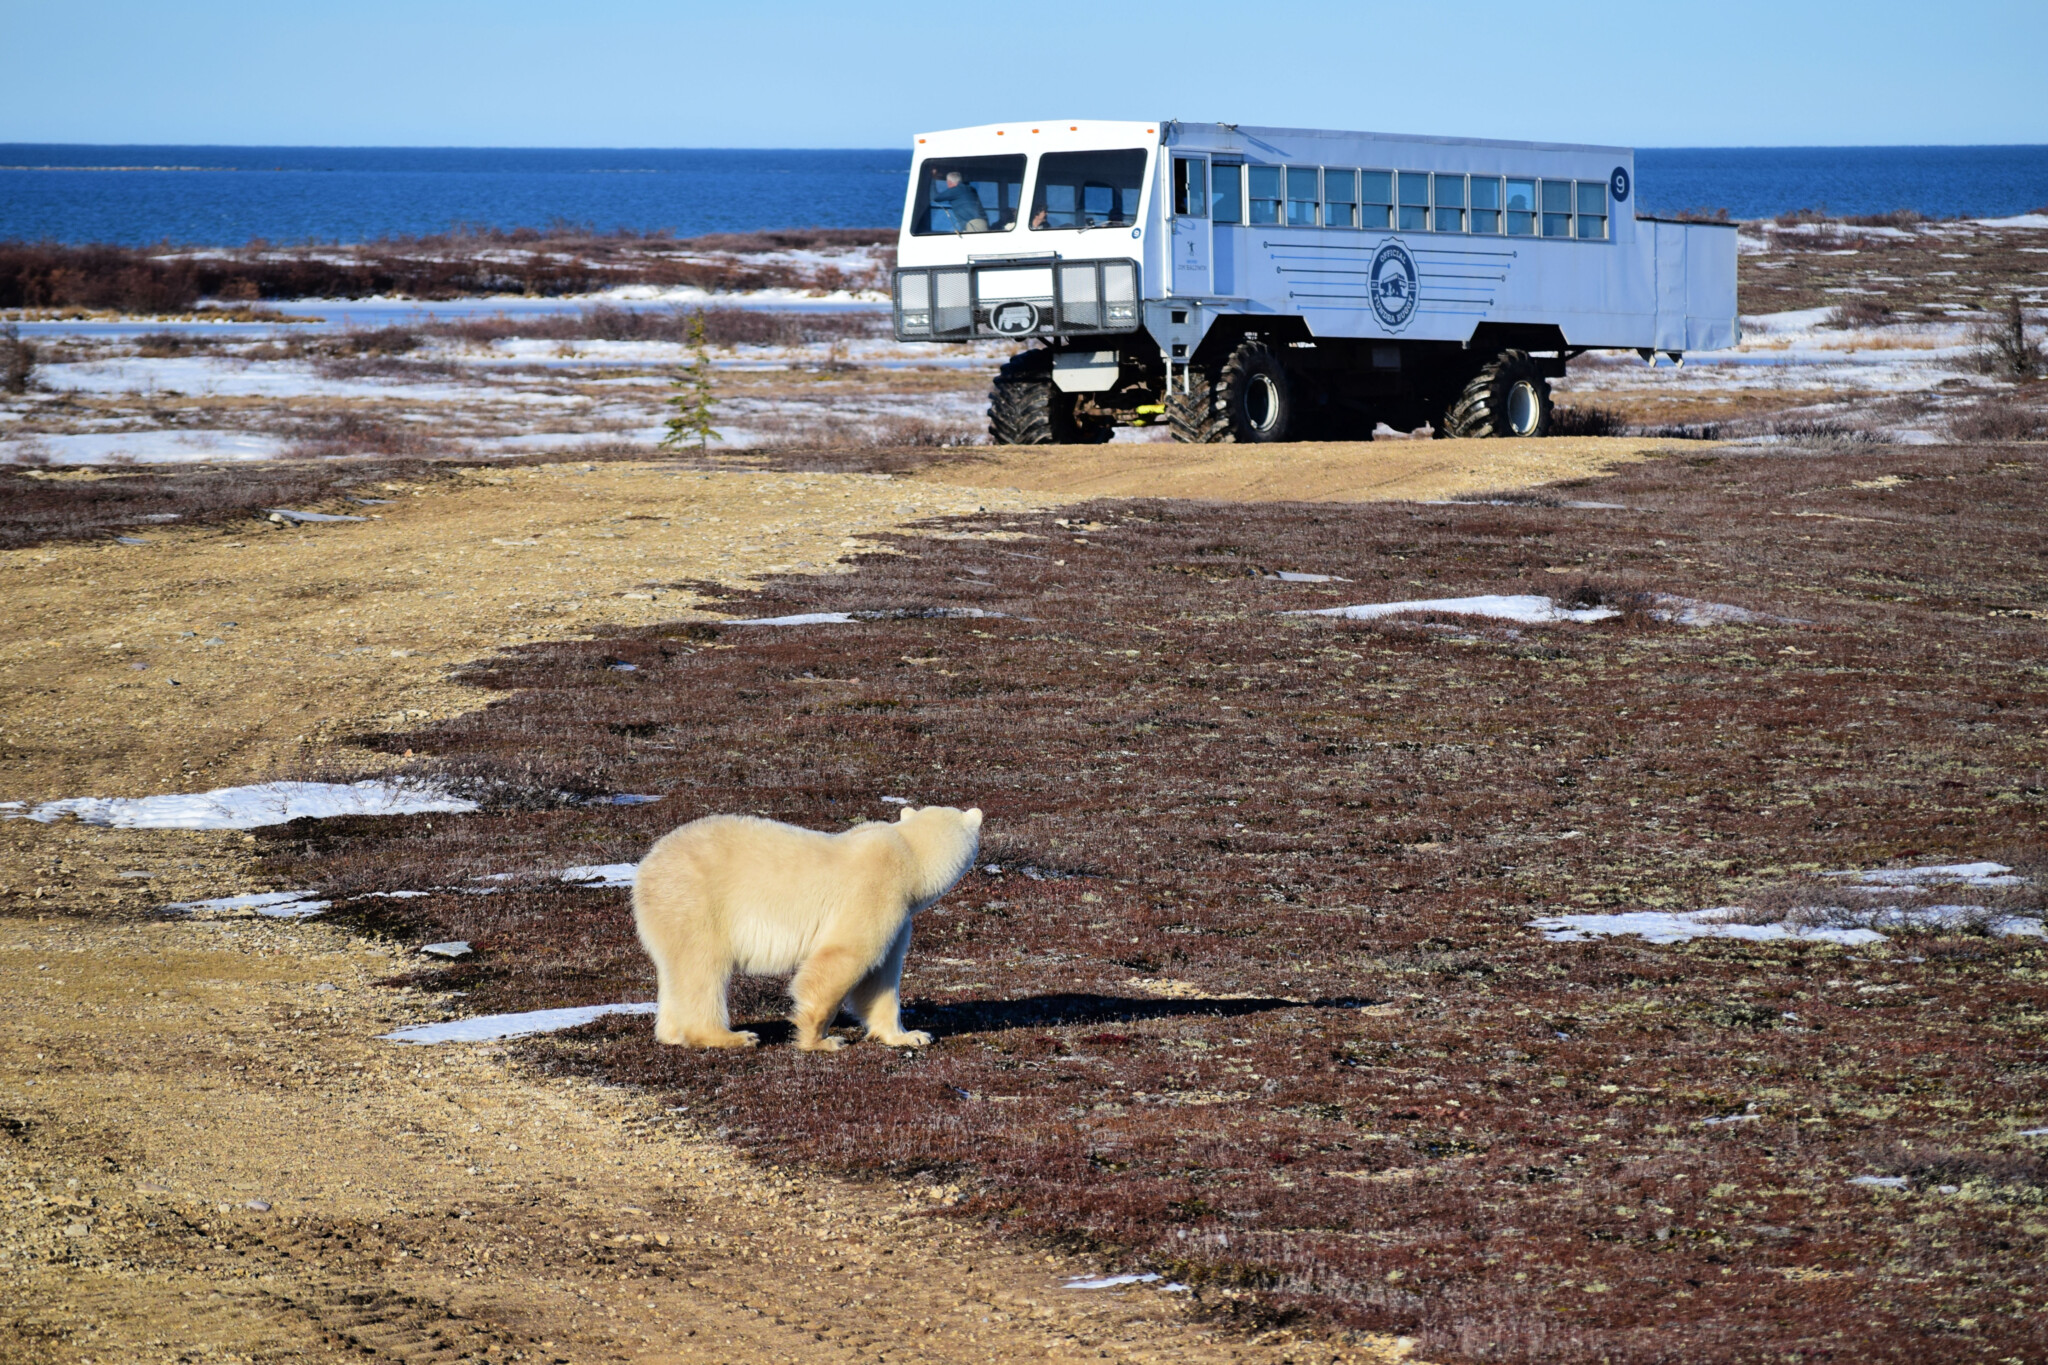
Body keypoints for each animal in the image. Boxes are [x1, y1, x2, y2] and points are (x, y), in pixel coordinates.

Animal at [630, 806, 983, 1055]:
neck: (908, 854)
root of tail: (647, 866)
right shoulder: (876, 892)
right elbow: (843, 957)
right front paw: (822, 1040)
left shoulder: (900, 918)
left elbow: (880, 977)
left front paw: (910, 1036)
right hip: (696, 902)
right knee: (703, 969)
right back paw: (731, 1036)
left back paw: (671, 1034)